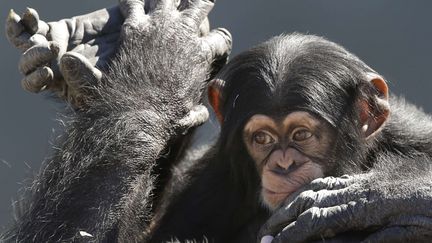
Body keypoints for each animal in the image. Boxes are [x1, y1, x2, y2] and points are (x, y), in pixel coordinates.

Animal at [3, 0, 432, 243]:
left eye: (302, 134)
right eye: (262, 138)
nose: (284, 164)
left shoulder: (411, 132)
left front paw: (384, 195)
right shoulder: (215, 178)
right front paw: (147, 55)